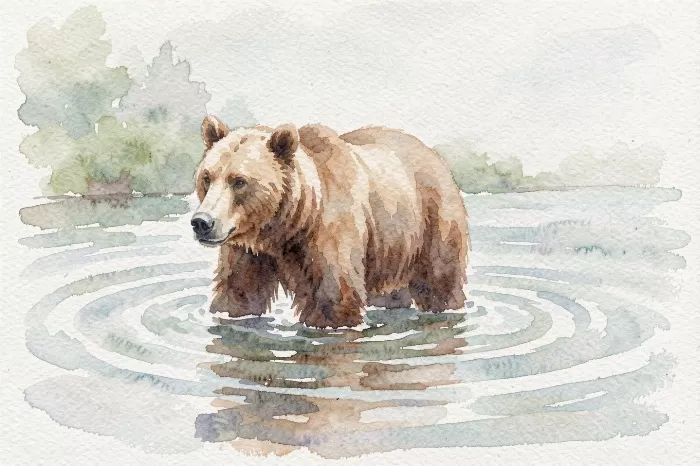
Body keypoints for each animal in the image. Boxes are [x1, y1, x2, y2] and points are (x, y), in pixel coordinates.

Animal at [191, 115, 469, 328]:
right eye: (207, 177)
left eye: (239, 181)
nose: (202, 222)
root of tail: (432, 154)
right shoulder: (249, 251)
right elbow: (238, 293)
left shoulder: (331, 234)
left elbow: (333, 298)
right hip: (391, 245)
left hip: (432, 220)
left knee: (440, 280)